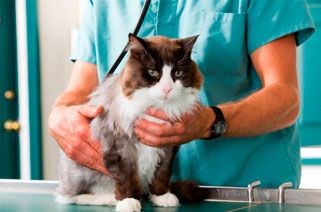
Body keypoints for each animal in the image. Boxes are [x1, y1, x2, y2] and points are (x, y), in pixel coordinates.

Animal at [55, 34, 208, 211]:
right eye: (152, 72)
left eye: (177, 72)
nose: (167, 89)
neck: (155, 107)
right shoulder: (120, 146)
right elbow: (127, 177)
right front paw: (128, 201)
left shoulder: (168, 146)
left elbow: (162, 173)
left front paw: (162, 196)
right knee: (71, 196)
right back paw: (109, 198)